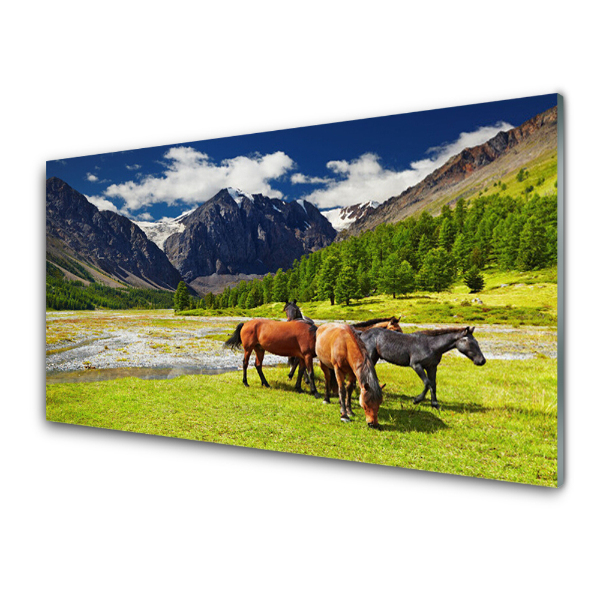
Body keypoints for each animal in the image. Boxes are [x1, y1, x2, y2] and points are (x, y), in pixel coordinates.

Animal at [358, 326, 486, 410]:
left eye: (477, 342)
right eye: (471, 343)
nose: (482, 361)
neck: (431, 346)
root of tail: (361, 334)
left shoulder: (432, 367)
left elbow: (433, 384)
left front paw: (435, 405)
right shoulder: (416, 365)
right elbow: (427, 383)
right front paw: (417, 400)